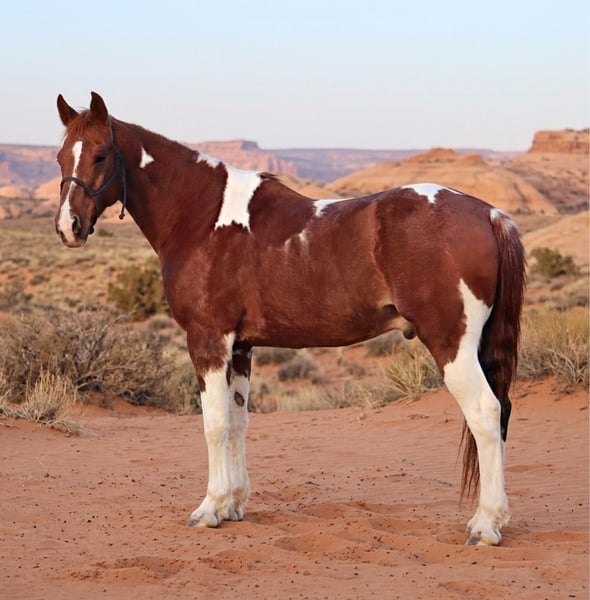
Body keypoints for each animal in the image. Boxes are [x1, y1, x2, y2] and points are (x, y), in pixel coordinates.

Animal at [54, 92, 525, 546]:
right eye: (60, 157)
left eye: (100, 155)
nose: (68, 227)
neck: (202, 217)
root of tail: (489, 214)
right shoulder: (240, 346)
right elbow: (238, 422)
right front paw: (233, 505)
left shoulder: (208, 339)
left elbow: (214, 424)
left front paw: (209, 509)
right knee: (501, 412)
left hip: (451, 343)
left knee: (485, 413)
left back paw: (485, 525)